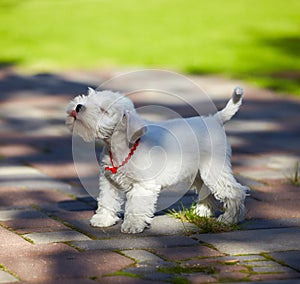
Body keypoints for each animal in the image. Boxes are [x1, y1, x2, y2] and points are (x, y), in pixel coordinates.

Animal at [67, 86, 250, 233]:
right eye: (88, 97)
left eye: (104, 109)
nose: (78, 106)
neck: (122, 147)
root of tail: (214, 119)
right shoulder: (109, 181)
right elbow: (107, 200)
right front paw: (103, 220)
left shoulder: (143, 186)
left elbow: (136, 206)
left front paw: (132, 225)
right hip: (199, 173)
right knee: (207, 190)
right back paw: (202, 212)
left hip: (213, 170)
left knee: (236, 192)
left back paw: (230, 219)